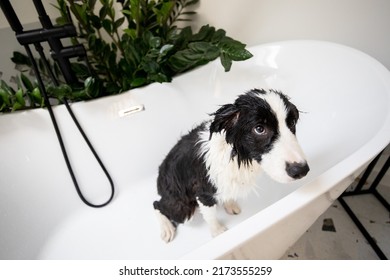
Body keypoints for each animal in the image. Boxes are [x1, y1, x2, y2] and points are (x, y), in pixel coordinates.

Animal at [152, 88, 308, 242]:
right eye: (259, 129)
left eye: (291, 123)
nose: (300, 170)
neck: (236, 156)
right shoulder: (203, 192)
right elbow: (210, 216)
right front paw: (218, 232)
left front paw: (229, 203)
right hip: (182, 208)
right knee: (157, 205)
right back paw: (166, 228)